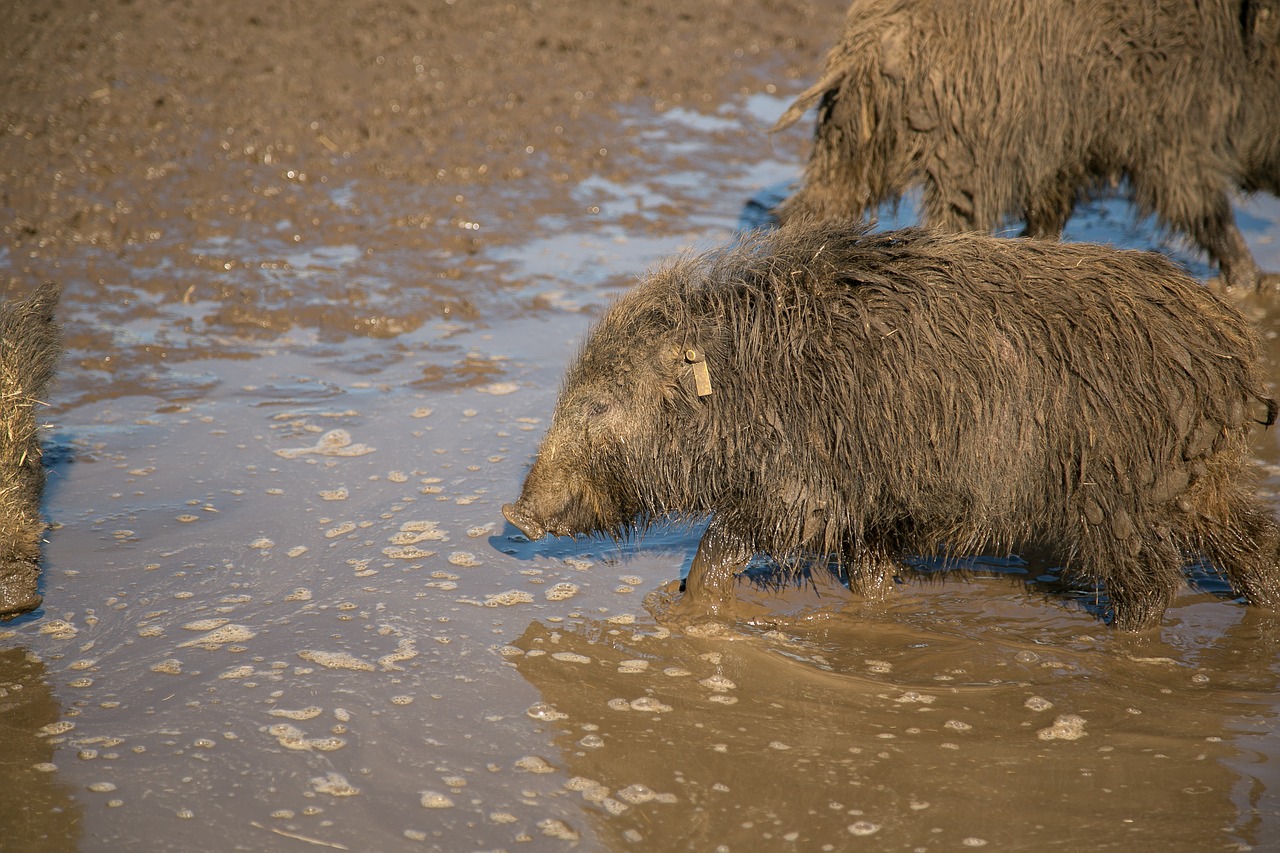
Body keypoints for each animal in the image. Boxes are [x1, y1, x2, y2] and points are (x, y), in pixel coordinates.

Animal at [501, 222, 1280, 627]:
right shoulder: (873, 510)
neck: (747, 392)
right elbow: (870, 574)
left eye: (600, 404)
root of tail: (1231, 354)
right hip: (1196, 484)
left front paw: (684, 609)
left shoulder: (802, 492)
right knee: (1252, 544)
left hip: (1117, 500)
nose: (515, 516)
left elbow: (720, 540)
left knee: (1151, 587)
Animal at [768, 0, 1280, 289]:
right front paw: (1254, 281)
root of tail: (865, 46)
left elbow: (1050, 212)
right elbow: (1205, 210)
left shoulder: (1065, 150)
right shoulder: (1172, 131)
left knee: (813, 204)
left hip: (851, 137)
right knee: (949, 223)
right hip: (966, 154)